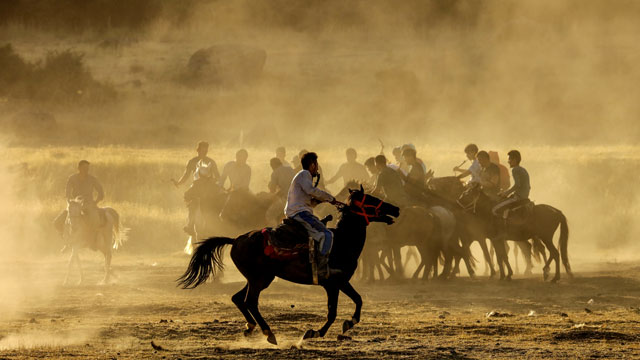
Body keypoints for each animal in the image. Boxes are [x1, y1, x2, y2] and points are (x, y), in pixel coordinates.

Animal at [178, 187, 400, 344]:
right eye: (371, 199)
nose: (395, 209)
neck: (342, 241)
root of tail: (236, 240)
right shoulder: (333, 284)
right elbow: (333, 312)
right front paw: (313, 332)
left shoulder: (341, 282)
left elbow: (358, 300)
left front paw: (346, 324)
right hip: (259, 280)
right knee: (250, 301)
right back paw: (268, 333)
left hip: (258, 278)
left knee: (238, 298)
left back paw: (250, 327)